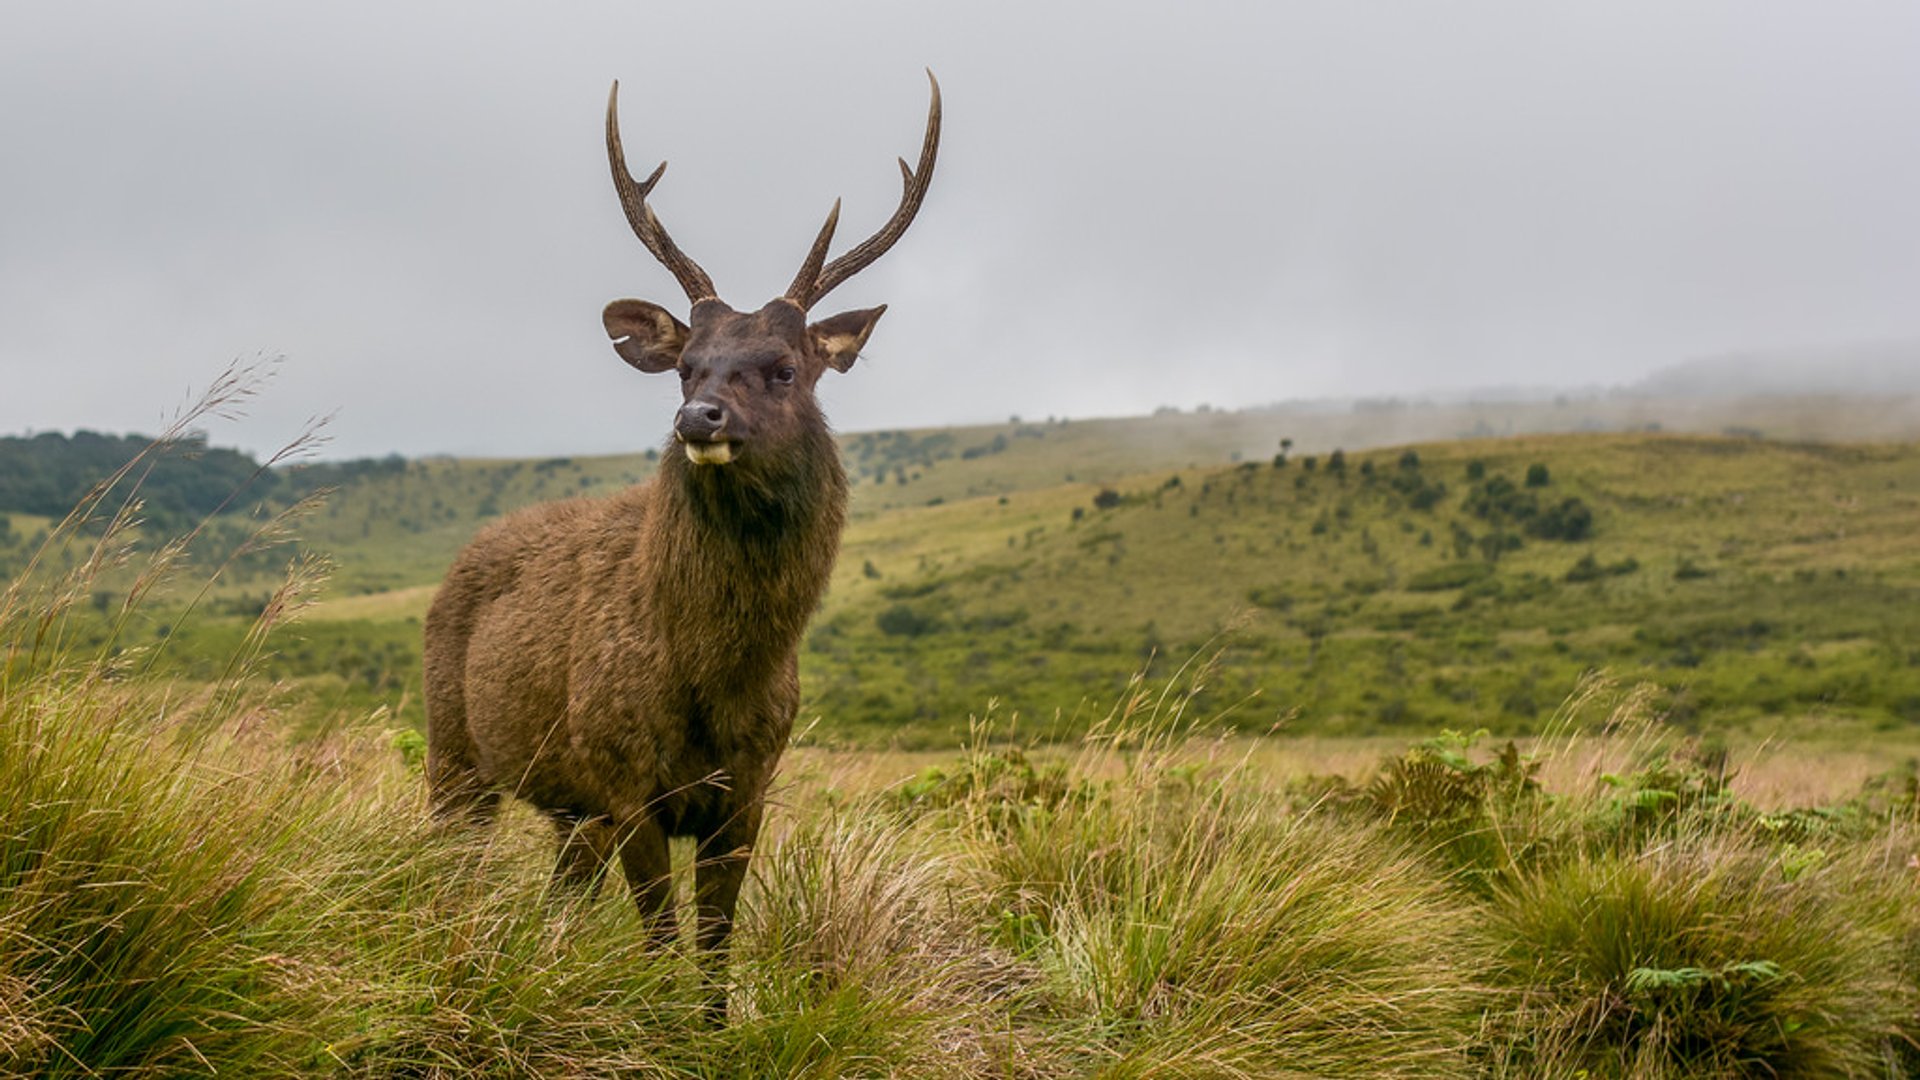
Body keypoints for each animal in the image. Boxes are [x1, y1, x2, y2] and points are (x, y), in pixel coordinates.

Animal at [423, 73, 940, 994]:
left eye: (784, 367)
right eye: (687, 364)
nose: (698, 415)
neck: (715, 675)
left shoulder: (747, 793)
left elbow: (714, 958)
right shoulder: (627, 783)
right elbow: (664, 951)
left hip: (566, 809)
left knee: (556, 900)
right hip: (454, 751)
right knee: (446, 871)